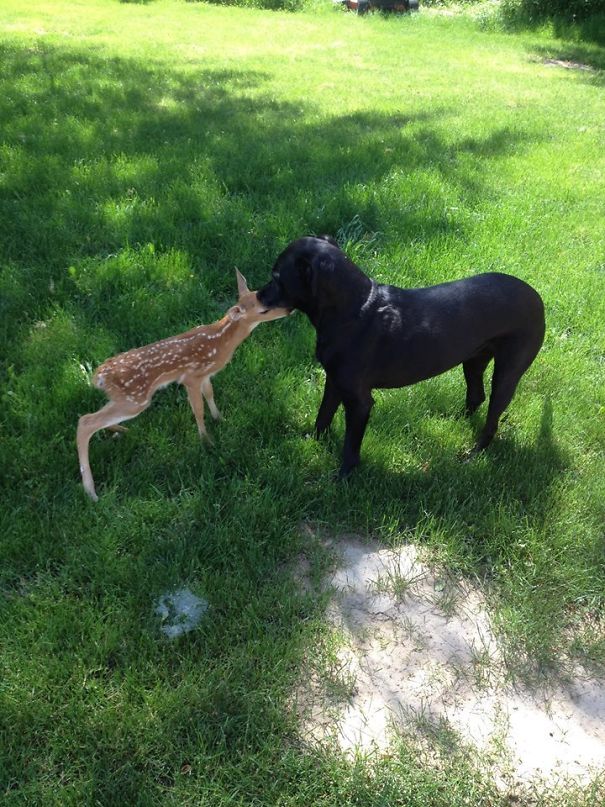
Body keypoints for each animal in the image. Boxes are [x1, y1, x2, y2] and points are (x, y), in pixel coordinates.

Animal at [76, 270, 290, 498]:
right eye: (263, 309)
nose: (288, 309)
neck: (221, 341)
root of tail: (99, 376)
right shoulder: (191, 377)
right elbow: (198, 408)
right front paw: (206, 441)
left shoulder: (205, 375)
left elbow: (210, 394)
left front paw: (219, 418)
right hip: (135, 399)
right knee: (85, 422)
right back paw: (91, 491)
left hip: (124, 399)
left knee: (96, 418)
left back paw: (122, 431)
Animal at [258, 237, 544, 476]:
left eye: (276, 277)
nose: (258, 296)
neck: (354, 310)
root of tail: (537, 296)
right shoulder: (335, 381)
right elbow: (323, 416)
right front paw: (313, 443)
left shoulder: (359, 401)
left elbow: (350, 447)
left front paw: (343, 478)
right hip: (473, 360)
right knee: (476, 396)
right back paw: (455, 422)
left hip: (507, 372)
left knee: (491, 421)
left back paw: (471, 456)